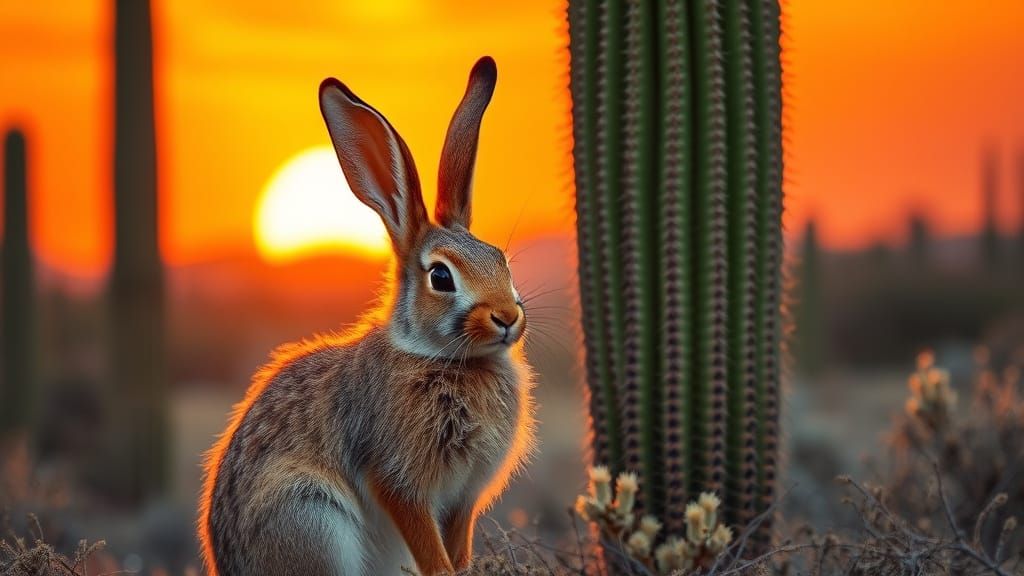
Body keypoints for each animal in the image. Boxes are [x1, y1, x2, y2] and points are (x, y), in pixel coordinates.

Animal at [197, 56, 536, 576]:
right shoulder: (397, 477)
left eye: (502, 260)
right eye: (441, 277)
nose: (506, 317)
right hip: (311, 518)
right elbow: (428, 545)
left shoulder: (463, 496)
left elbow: (457, 545)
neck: (443, 358)